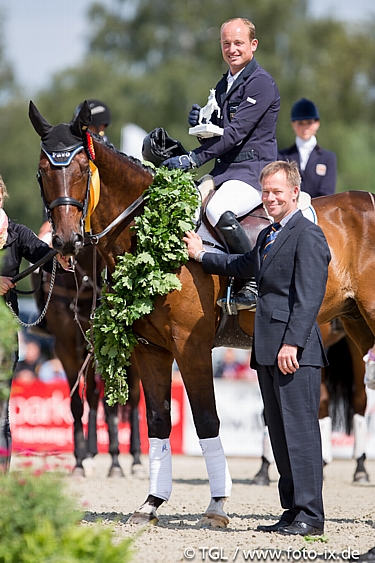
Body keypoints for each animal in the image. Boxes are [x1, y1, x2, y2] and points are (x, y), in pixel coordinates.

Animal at [32, 231, 144, 478]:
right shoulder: (65, 348)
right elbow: (77, 402)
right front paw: (79, 462)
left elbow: (111, 405)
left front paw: (115, 463)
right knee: (92, 396)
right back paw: (91, 455)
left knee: (133, 399)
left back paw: (136, 460)